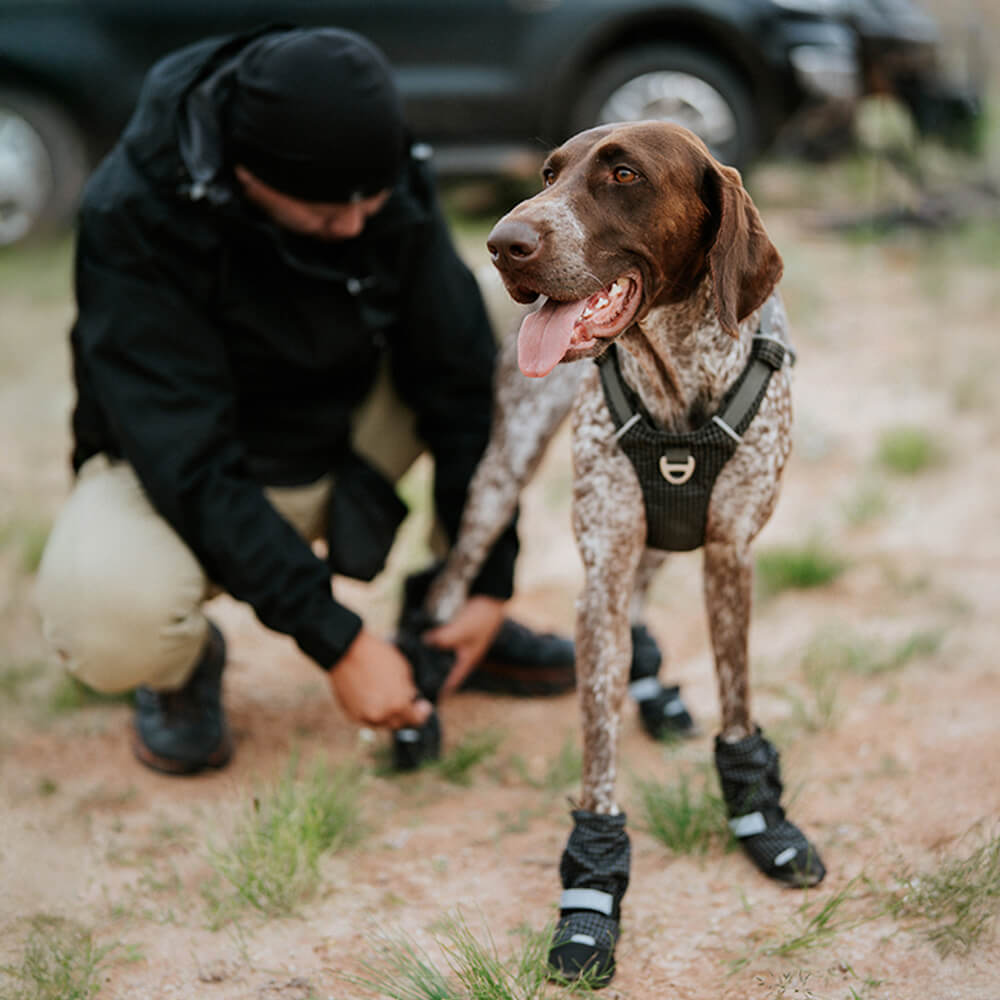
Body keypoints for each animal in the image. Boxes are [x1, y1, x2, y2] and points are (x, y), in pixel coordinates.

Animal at [418, 119, 824, 984]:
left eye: (625, 174)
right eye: (548, 174)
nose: (503, 243)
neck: (679, 387)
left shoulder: (730, 554)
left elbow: (738, 706)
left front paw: (761, 817)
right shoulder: (598, 575)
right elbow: (597, 752)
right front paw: (594, 889)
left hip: (665, 538)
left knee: (644, 594)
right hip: (499, 481)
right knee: (448, 587)